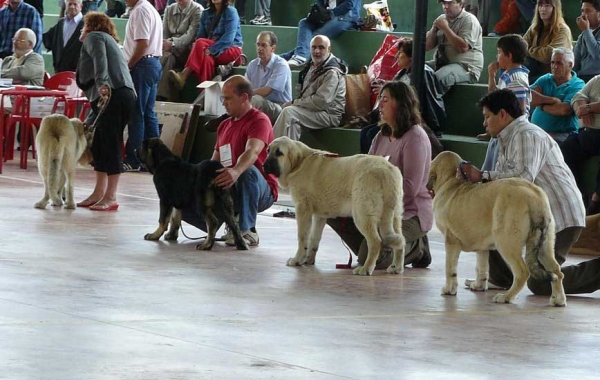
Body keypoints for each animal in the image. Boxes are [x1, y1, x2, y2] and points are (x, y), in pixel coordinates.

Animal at [264, 137, 406, 276]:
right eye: (268, 151)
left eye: (279, 153)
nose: (264, 166)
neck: (301, 162)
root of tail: (386, 170)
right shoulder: (319, 216)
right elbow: (314, 239)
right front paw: (308, 260)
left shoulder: (302, 210)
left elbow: (302, 237)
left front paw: (297, 260)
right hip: (395, 216)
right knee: (401, 241)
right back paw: (396, 267)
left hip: (362, 214)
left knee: (376, 241)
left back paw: (366, 269)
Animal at [428, 151, 564, 306]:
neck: (452, 183)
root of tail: (533, 196)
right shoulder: (481, 247)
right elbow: (481, 267)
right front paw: (479, 286)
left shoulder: (451, 241)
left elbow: (450, 268)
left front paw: (449, 289)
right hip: (544, 245)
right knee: (557, 270)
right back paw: (558, 299)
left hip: (506, 243)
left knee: (522, 272)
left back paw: (506, 297)